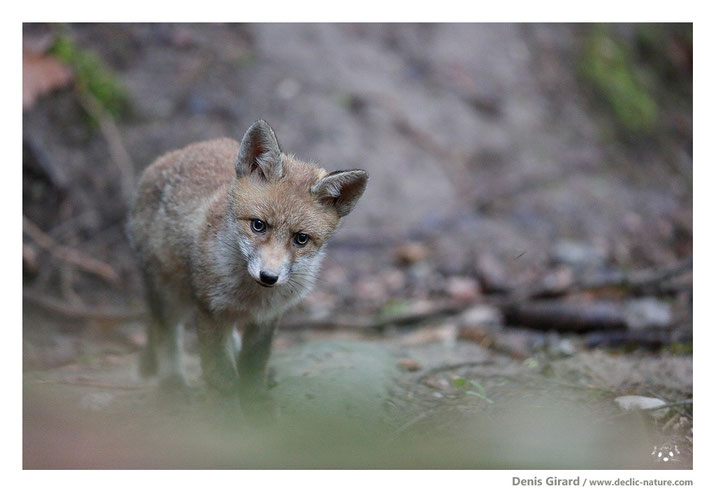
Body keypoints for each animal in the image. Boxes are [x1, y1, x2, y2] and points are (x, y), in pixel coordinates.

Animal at [126, 121, 366, 410]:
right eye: (258, 225)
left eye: (301, 239)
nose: (269, 276)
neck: (252, 297)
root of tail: (176, 153)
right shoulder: (209, 309)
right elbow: (220, 376)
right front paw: (228, 412)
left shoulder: (268, 317)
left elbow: (252, 368)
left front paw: (255, 407)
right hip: (170, 294)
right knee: (167, 333)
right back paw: (172, 383)